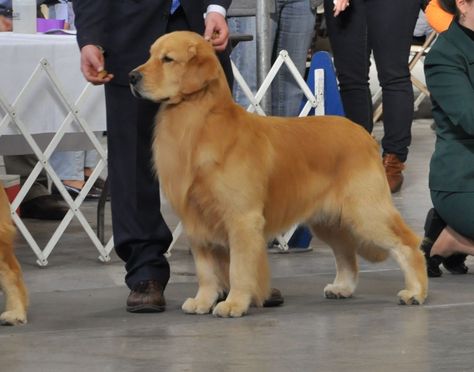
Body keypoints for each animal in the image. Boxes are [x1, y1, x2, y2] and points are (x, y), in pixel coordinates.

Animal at [130, 30, 430, 318]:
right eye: (150, 55)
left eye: (167, 59)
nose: (132, 76)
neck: (199, 123)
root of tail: (363, 134)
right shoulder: (196, 220)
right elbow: (206, 270)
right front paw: (203, 300)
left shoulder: (242, 218)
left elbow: (239, 268)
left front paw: (234, 303)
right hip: (327, 219)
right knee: (346, 251)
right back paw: (342, 287)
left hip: (365, 211)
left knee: (407, 244)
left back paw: (415, 292)